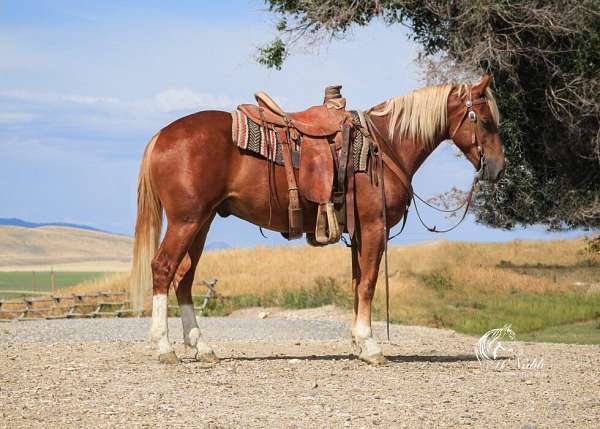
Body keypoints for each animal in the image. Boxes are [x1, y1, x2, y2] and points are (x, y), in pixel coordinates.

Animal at [129, 73, 504, 364]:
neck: (386, 146)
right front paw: (371, 346)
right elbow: (368, 283)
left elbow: (356, 283)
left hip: (202, 222)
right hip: (187, 221)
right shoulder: (373, 227)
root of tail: (162, 136)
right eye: (486, 122)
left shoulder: (358, 233)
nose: (499, 168)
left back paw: (202, 347)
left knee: (184, 278)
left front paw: (358, 343)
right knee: (163, 268)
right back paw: (164, 347)